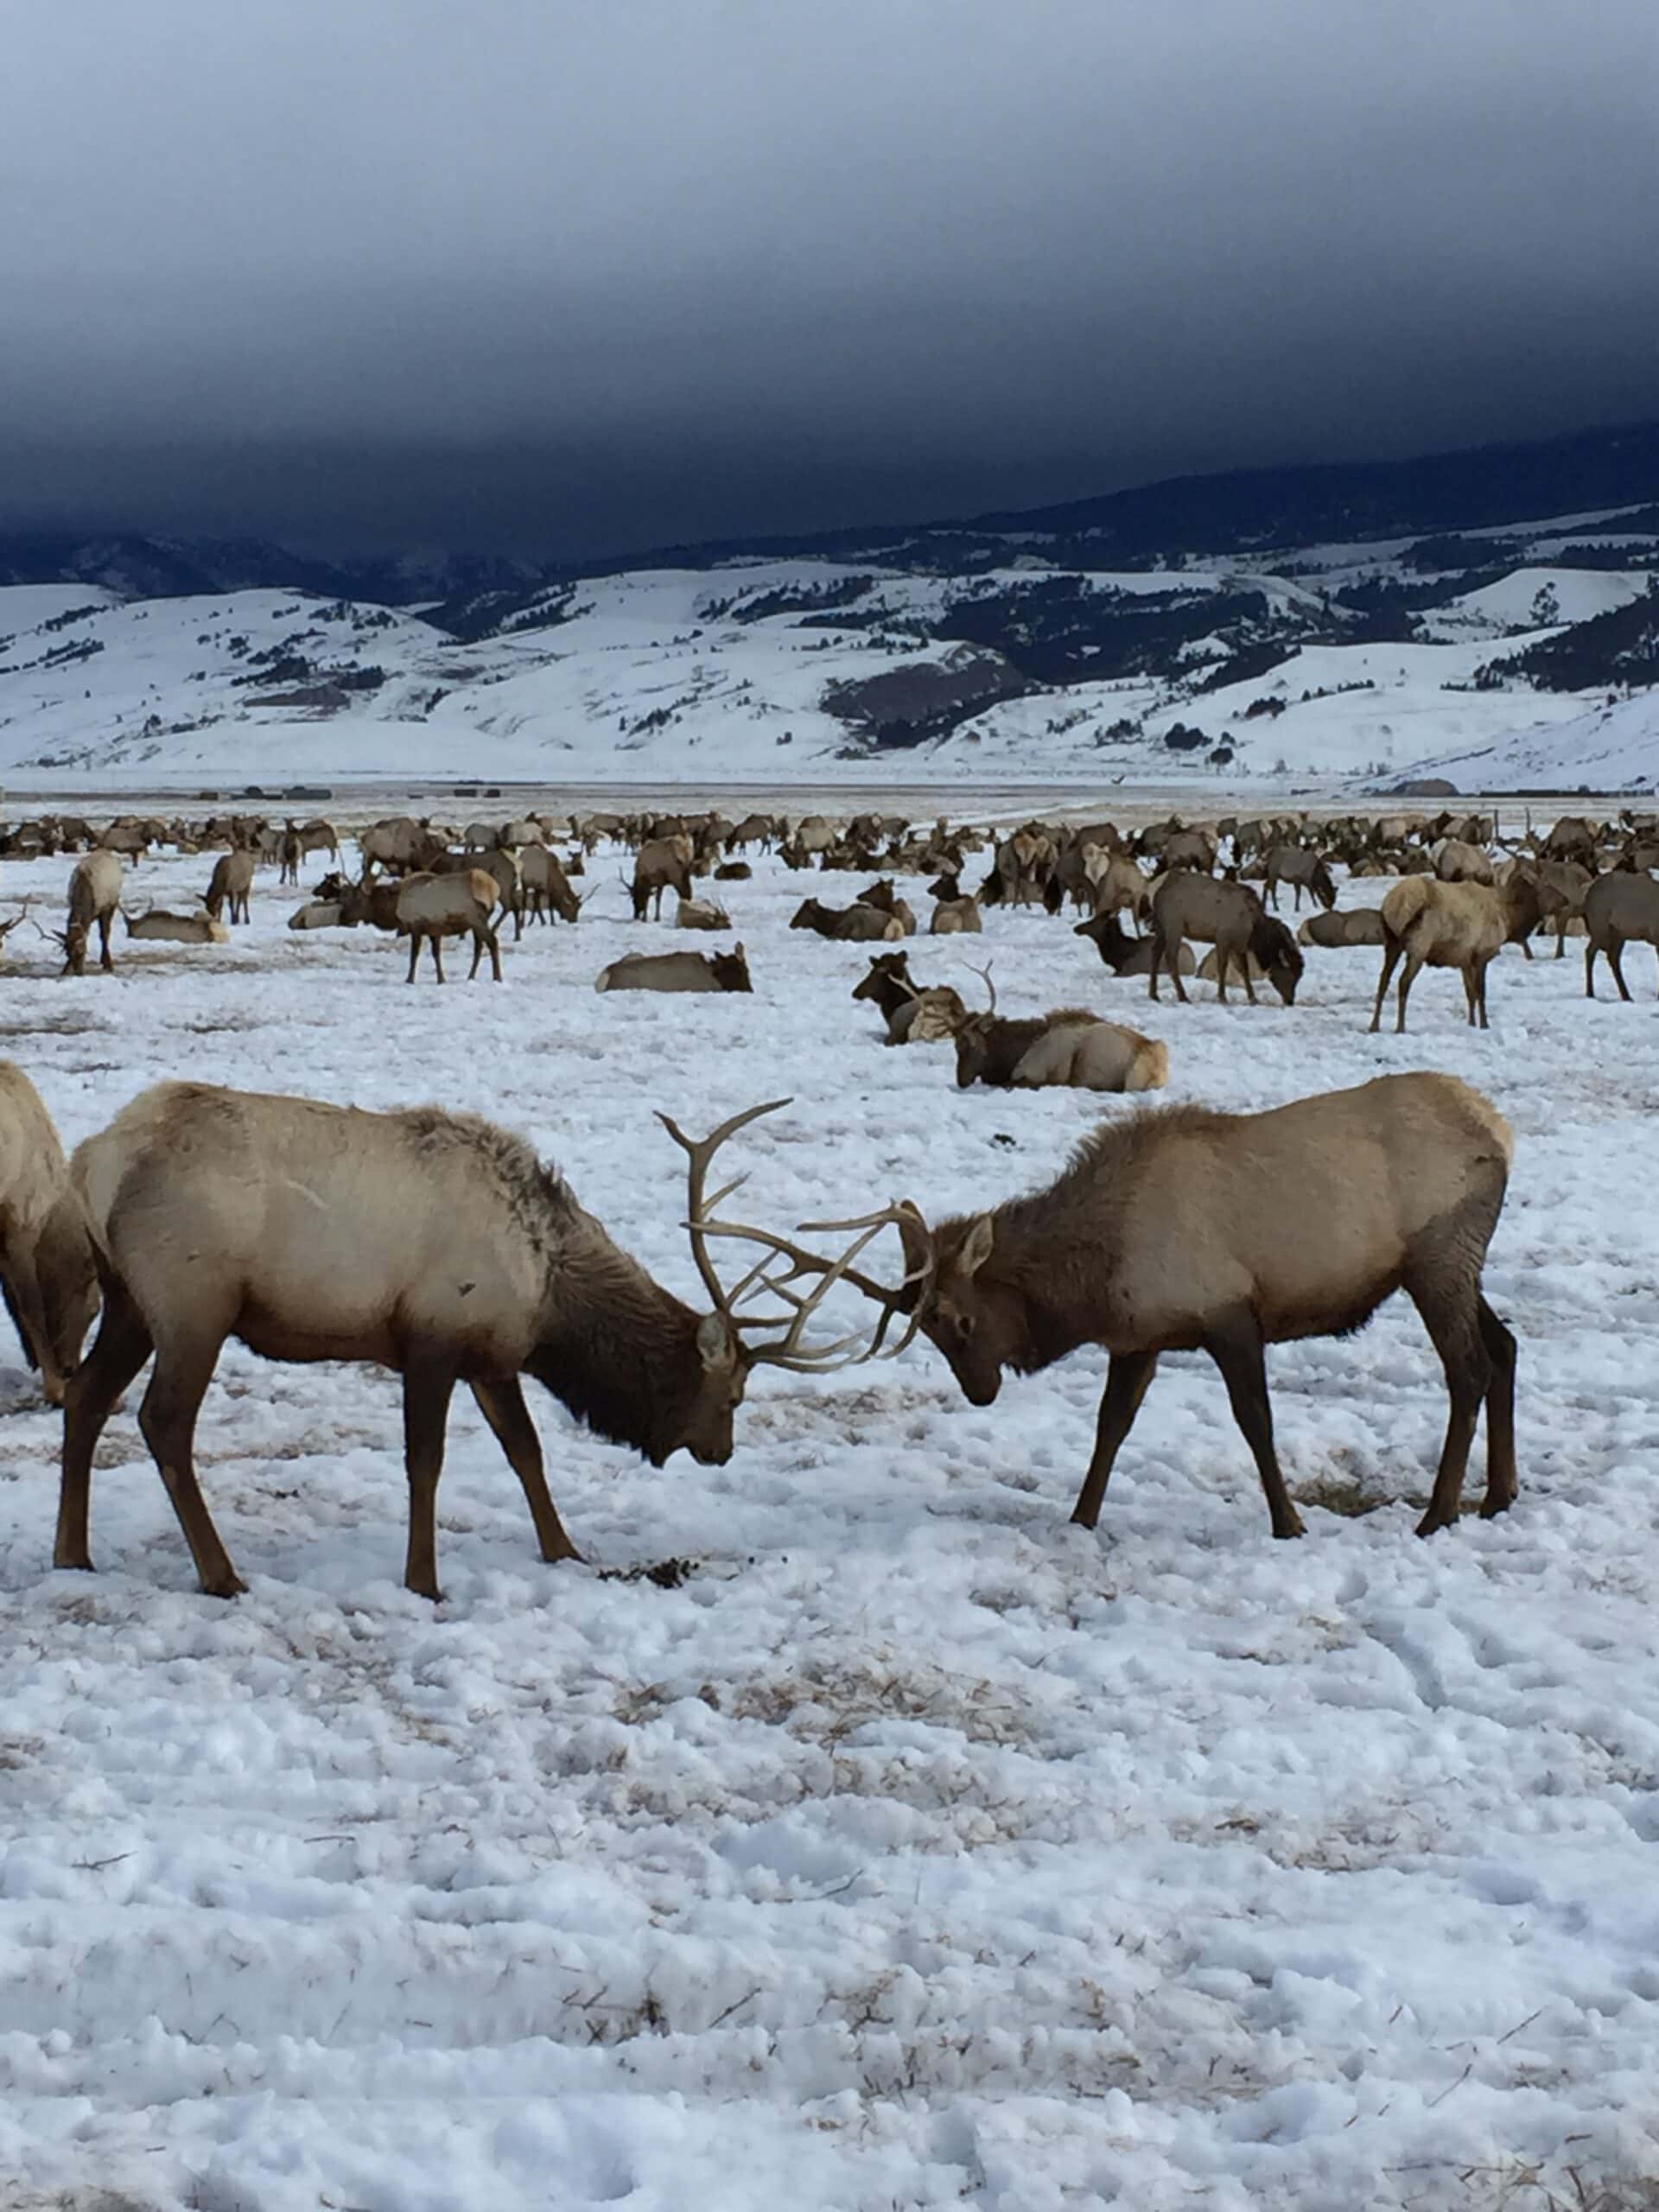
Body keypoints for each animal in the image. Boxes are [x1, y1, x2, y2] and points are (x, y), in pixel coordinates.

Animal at [844, 1071, 1522, 1539]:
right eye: (928, 1331)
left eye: (959, 1319)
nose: (980, 1391)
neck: (1094, 1280)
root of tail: (1501, 1132)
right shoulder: (1139, 1338)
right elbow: (1110, 1426)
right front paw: (1081, 1518)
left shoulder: (1229, 1314)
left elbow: (1255, 1422)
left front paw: (1289, 1522)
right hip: (1456, 1267)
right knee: (1506, 1347)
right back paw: (1498, 1495)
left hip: (1438, 1261)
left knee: (1469, 1370)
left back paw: (1438, 1514)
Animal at [1150, 875, 1309, 1008]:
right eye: (1291, 975)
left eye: (1299, 976)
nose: (1290, 1001)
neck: (1254, 931)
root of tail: (1158, 894)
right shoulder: (1223, 937)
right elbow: (1223, 967)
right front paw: (1222, 997)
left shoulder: (1238, 944)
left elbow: (1244, 969)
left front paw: (1253, 998)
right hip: (1174, 926)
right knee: (1170, 957)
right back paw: (1183, 996)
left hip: (1161, 928)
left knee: (1155, 953)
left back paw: (1154, 994)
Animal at [1583, 871, 1659, 1004]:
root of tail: (1589, 893)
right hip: (1600, 926)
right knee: (1590, 952)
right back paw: (1590, 993)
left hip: (1618, 933)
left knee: (1613, 958)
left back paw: (1626, 996)